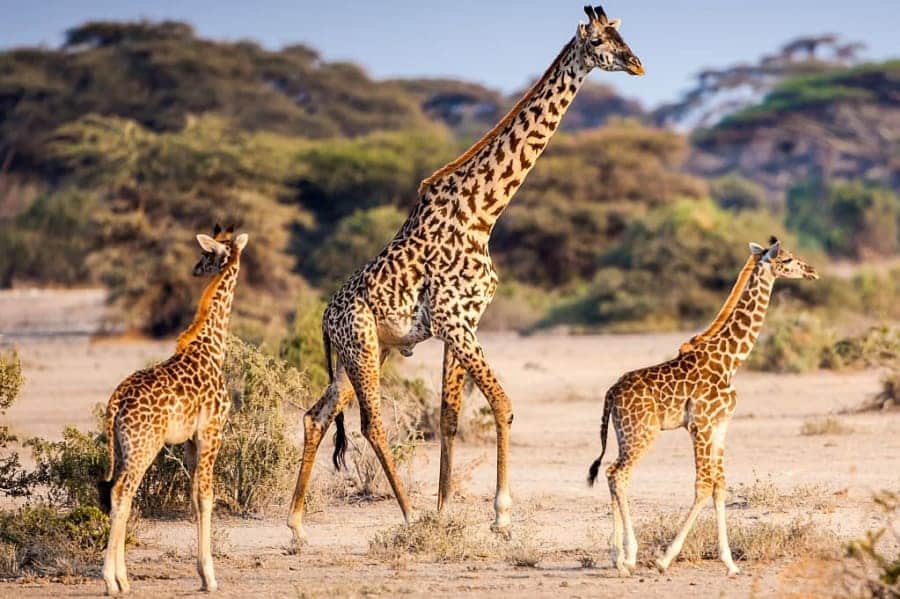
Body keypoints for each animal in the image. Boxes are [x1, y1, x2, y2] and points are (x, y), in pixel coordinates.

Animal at [284, 2, 644, 540]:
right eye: (601, 41)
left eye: (624, 38)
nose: (637, 64)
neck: (483, 213)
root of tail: (326, 319)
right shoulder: (455, 321)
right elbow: (502, 405)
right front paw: (499, 515)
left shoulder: (464, 323)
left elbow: (449, 416)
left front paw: (446, 508)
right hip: (362, 345)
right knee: (371, 422)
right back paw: (407, 514)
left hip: (365, 352)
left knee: (316, 416)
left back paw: (298, 527)